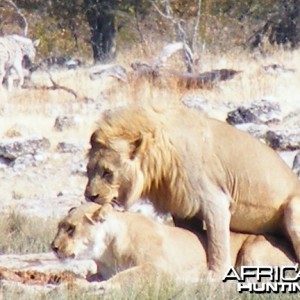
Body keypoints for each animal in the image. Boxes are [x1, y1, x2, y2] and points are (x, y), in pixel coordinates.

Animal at [51, 203, 296, 290]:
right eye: (59, 226)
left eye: (71, 228)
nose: (53, 247)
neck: (106, 251)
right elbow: (93, 276)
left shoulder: (159, 268)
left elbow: (122, 277)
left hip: (252, 252)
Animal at [83, 103, 300, 276]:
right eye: (88, 170)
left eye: (107, 173)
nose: (89, 196)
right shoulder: (183, 208)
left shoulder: (216, 201)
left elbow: (218, 245)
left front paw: (216, 276)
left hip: (292, 209)